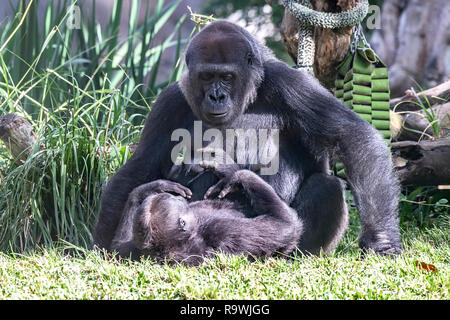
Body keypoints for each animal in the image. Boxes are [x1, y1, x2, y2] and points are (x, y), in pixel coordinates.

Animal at [93, 20, 402, 258]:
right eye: (207, 76)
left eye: (227, 77)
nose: (216, 96)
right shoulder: (170, 100)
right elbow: (142, 166)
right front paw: (103, 243)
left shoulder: (290, 83)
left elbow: (350, 135)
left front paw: (383, 241)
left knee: (326, 186)